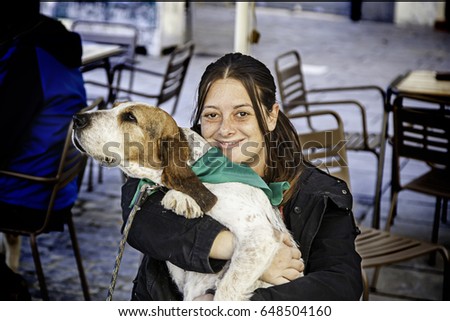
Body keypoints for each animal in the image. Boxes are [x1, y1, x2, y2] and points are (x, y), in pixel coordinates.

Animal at [71, 101, 296, 298]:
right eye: (115, 106)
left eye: (130, 117)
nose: (76, 119)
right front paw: (181, 198)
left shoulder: (260, 236)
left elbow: (225, 292)